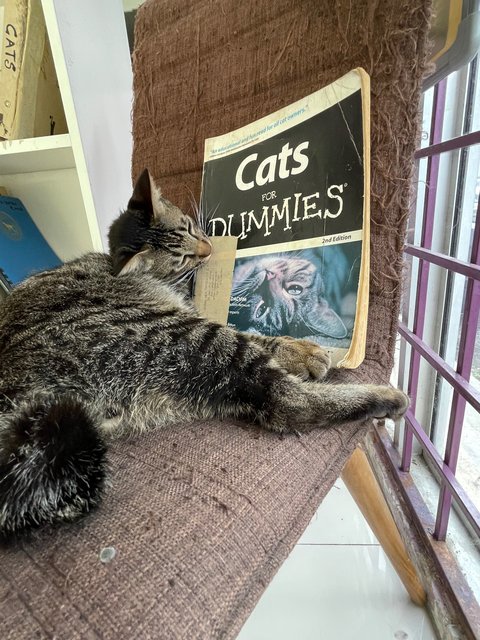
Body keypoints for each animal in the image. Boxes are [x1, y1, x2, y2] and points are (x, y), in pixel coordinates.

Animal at [0, 171, 408, 540]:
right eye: (182, 256)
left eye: (190, 227)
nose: (209, 248)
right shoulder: (194, 318)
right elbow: (259, 338)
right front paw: (304, 351)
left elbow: (265, 338)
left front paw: (299, 349)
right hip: (187, 337)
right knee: (288, 402)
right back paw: (385, 398)